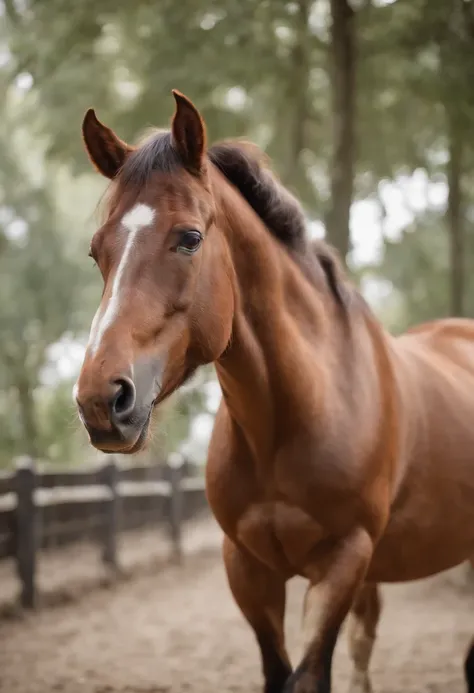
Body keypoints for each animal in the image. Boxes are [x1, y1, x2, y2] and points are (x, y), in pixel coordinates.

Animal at [75, 89, 474, 688]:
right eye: (97, 250)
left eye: (189, 239)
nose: (101, 399)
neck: (293, 417)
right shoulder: (248, 569)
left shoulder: (342, 561)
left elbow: (308, 676)